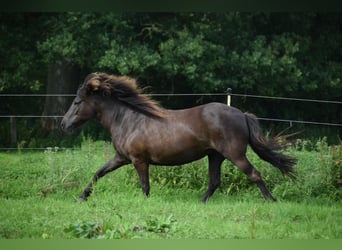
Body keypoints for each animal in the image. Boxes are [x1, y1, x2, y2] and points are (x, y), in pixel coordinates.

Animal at [61, 73, 296, 203]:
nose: (63, 124)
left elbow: (145, 186)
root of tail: (242, 115)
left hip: (235, 155)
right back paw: (200, 203)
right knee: (215, 181)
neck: (128, 120)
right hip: (215, 156)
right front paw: (82, 197)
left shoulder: (139, 160)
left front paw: (146, 204)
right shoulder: (121, 158)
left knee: (254, 174)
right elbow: (98, 173)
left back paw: (272, 201)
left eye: (77, 102)